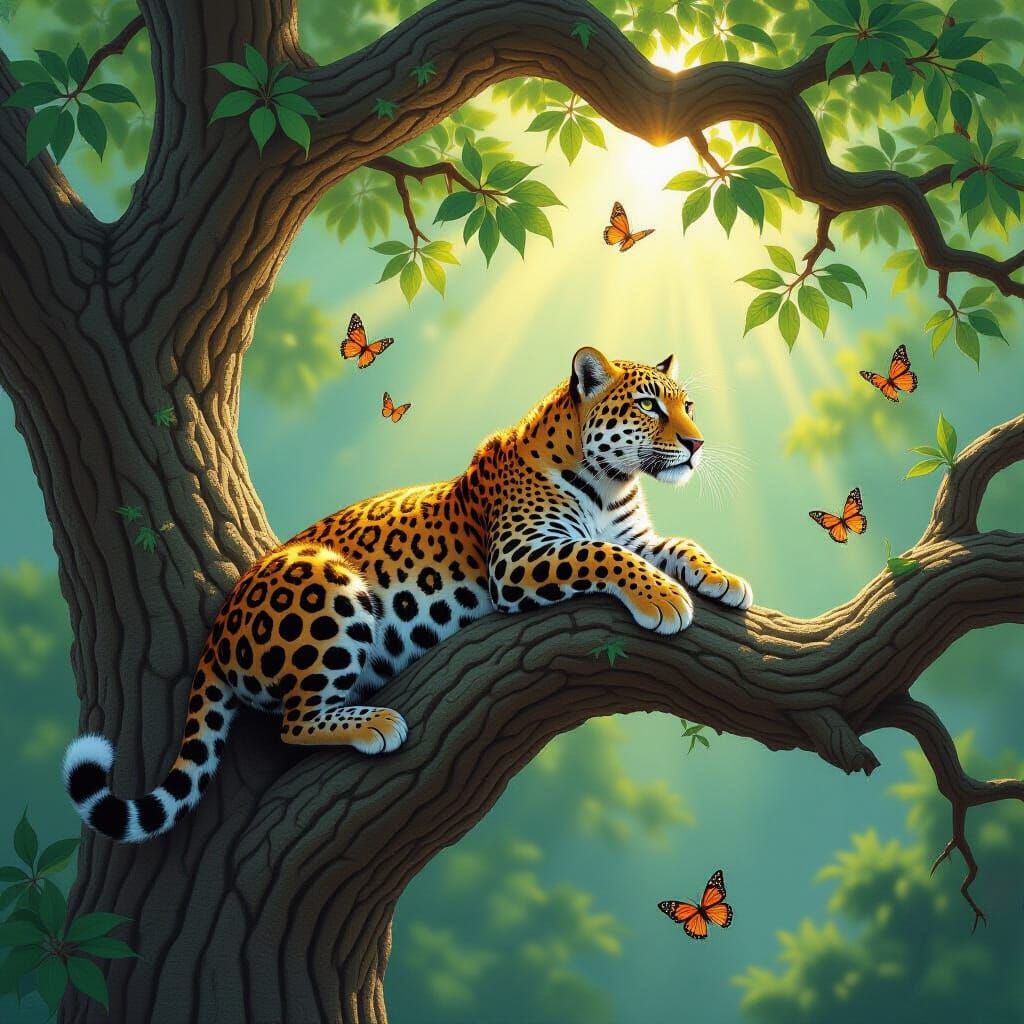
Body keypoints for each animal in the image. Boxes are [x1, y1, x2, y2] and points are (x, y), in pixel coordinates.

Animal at [62, 346, 753, 842]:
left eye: (687, 405)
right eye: (649, 407)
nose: (695, 445)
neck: (612, 485)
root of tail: (218, 629)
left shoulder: (636, 535)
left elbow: (676, 545)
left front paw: (720, 577)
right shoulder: (521, 557)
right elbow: (602, 553)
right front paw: (664, 600)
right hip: (326, 584)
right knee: (292, 721)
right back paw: (376, 722)